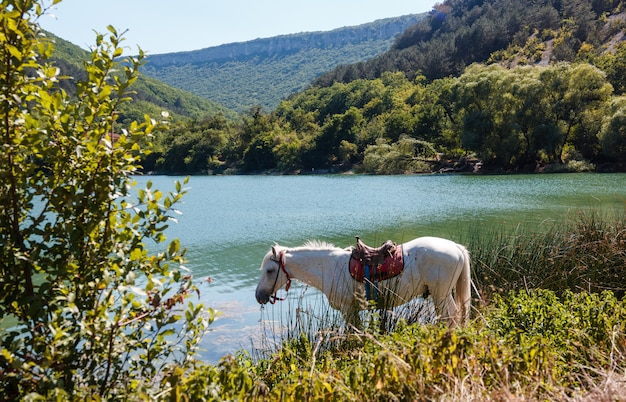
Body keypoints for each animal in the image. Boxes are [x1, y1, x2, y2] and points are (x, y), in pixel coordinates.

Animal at [254, 237, 468, 328]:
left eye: (270, 270)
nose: (259, 296)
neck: (329, 267)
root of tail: (456, 247)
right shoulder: (353, 310)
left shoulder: (348, 309)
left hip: (441, 295)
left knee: (450, 316)